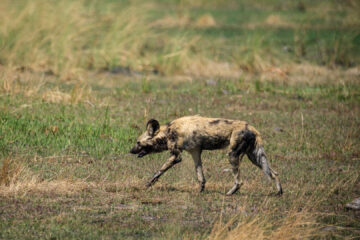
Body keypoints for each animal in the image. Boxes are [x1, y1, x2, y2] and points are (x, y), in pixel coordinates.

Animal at [131, 115, 282, 196]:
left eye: (138, 142)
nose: (130, 150)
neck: (168, 132)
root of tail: (252, 128)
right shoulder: (195, 153)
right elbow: (200, 176)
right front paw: (200, 191)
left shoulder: (176, 156)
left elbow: (158, 171)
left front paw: (148, 184)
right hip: (255, 157)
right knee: (274, 173)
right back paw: (279, 192)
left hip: (232, 155)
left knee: (239, 181)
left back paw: (229, 194)